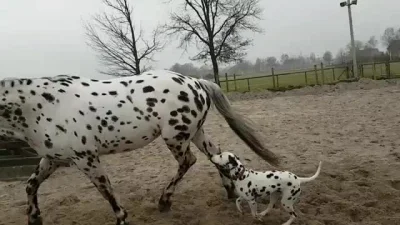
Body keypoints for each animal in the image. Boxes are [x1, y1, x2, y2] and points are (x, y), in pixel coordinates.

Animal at [0, 69, 280, 224]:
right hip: (195, 132)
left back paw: (164, 201)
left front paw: (122, 218)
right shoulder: (53, 158)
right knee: (215, 155)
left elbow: (107, 191)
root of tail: (196, 82)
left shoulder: (86, 159)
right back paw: (230, 192)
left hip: (175, 137)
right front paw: (34, 218)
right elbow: (31, 184)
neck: (45, 106)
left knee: (188, 162)